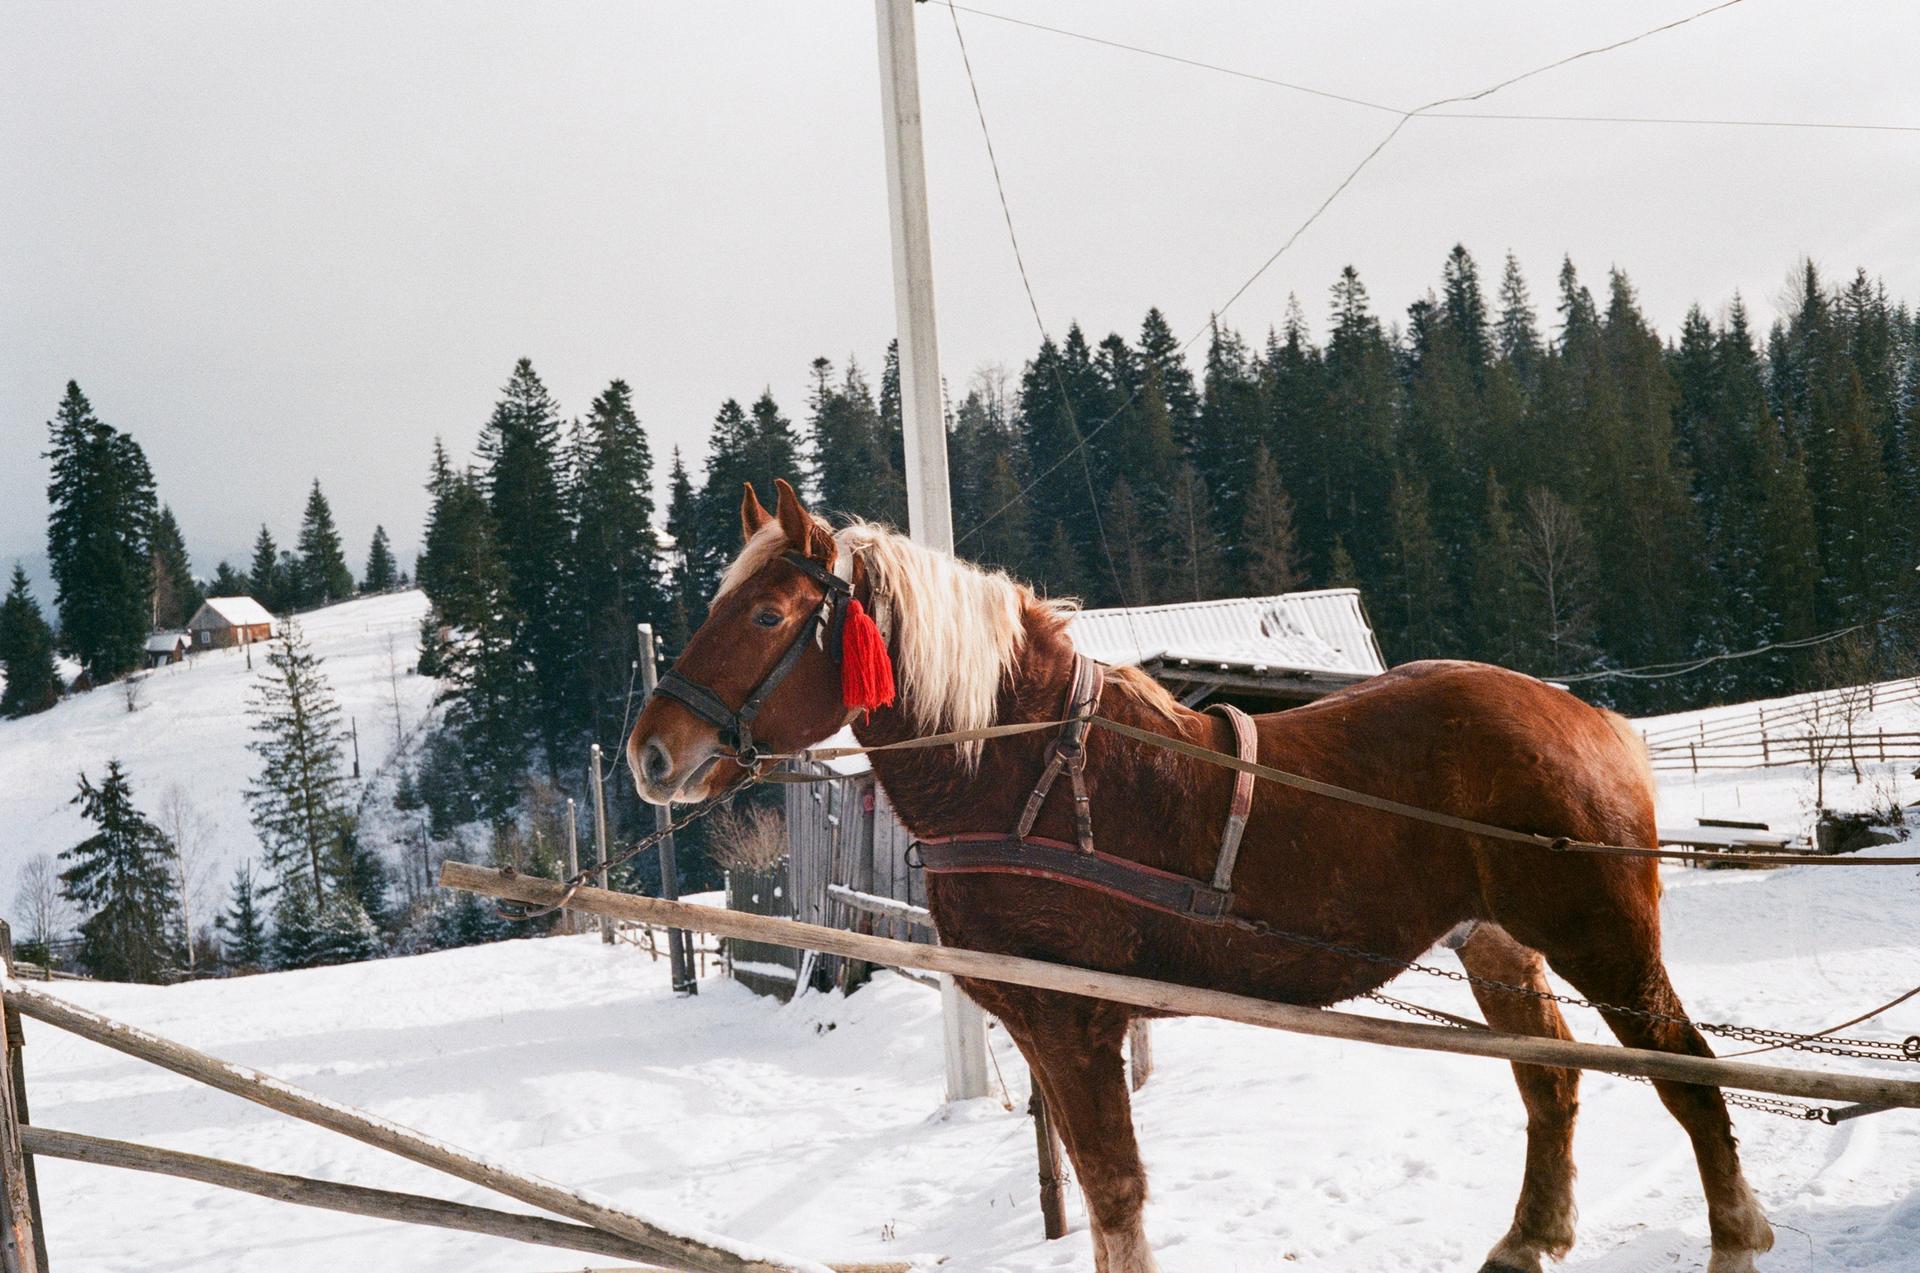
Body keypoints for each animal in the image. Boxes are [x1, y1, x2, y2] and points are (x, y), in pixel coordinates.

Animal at [627, 478, 1774, 1273]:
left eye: (767, 617)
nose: (650, 752)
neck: (1021, 767)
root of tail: (1588, 715)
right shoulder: (1043, 1024)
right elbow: (1103, 1198)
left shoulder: (1077, 1022)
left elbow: (1117, 1194)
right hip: (1496, 940)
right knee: (1552, 1079)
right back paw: (1530, 1236)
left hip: (1602, 937)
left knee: (1686, 1067)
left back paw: (1734, 1232)